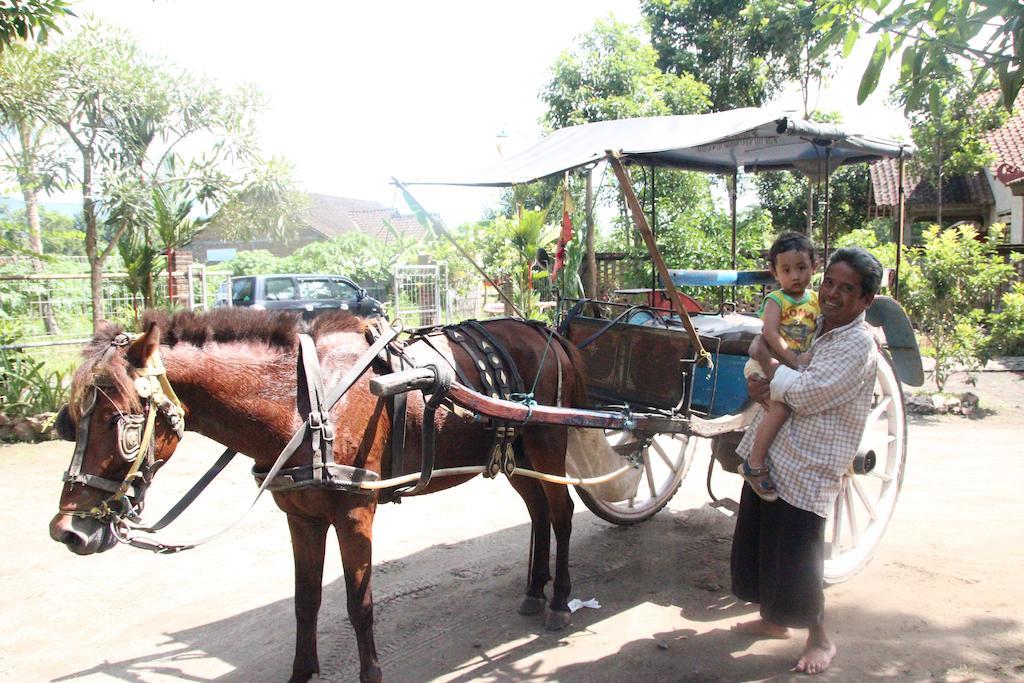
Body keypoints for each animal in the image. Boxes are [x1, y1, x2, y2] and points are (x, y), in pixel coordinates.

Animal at [49, 309, 593, 683]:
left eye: (121, 423)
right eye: (70, 421)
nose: (68, 531)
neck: (305, 403)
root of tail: (546, 333)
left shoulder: (355, 514)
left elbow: (359, 603)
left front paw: (371, 674)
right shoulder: (301, 517)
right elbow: (305, 601)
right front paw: (300, 671)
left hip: (548, 442)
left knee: (562, 514)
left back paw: (559, 599)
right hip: (514, 451)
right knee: (539, 512)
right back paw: (534, 589)